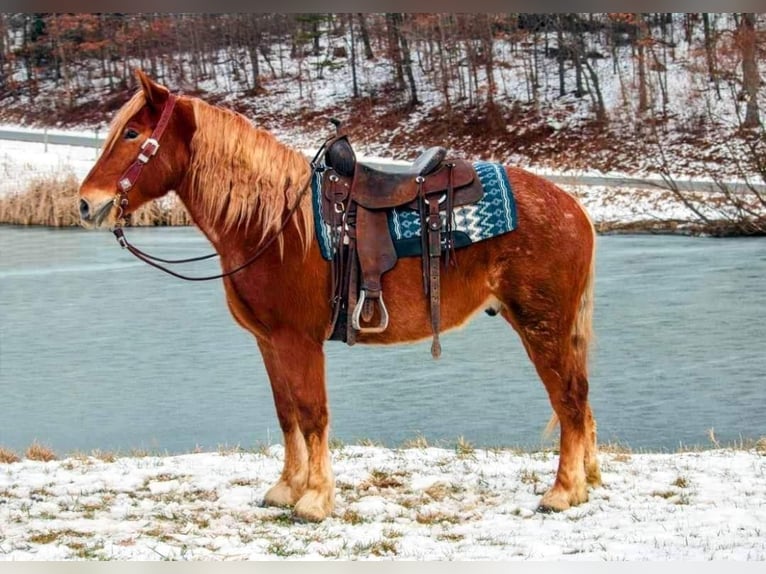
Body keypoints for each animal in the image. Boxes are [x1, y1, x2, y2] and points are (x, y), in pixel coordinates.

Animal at [79, 70, 608, 524]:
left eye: (132, 133)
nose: (86, 203)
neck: (273, 225)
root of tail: (574, 206)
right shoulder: (268, 342)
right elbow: (286, 413)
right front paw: (286, 488)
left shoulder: (298, 340)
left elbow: (312, 414)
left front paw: (314, 500)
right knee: (579, 399)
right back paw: (586, 481)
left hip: (542, 325)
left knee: (568, 398)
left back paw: (563, 492)